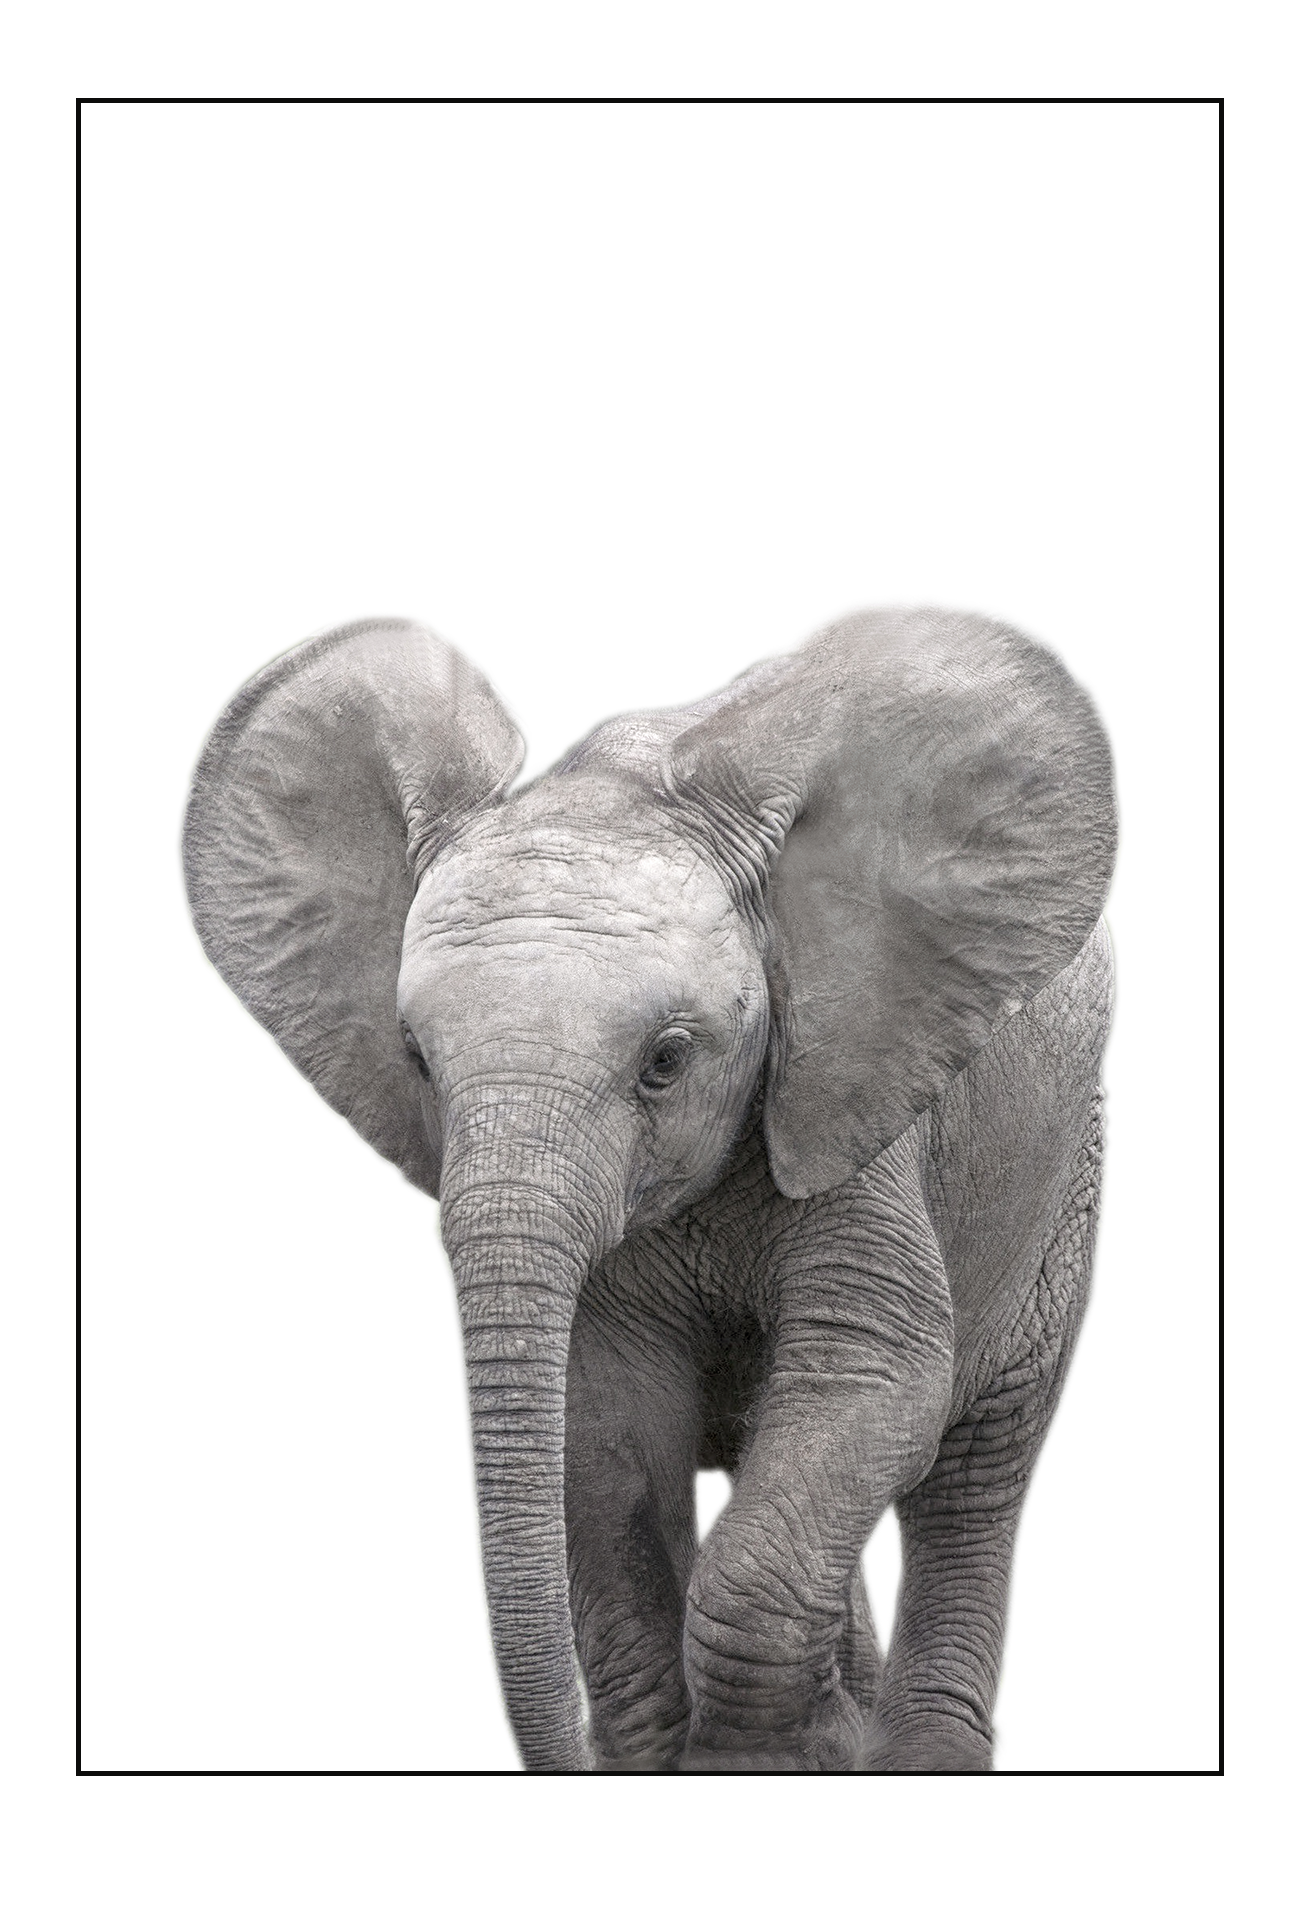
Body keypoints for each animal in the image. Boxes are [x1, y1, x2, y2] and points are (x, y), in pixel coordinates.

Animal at [184, 605, 1115, 1773]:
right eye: (417, 1060)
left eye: (666, 1060)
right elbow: (609, 1429)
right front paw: (728, 1744)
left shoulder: (856, 1105)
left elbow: (876, 1380)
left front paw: (771, 1754)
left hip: (1061, 1174)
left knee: (977, 1463)